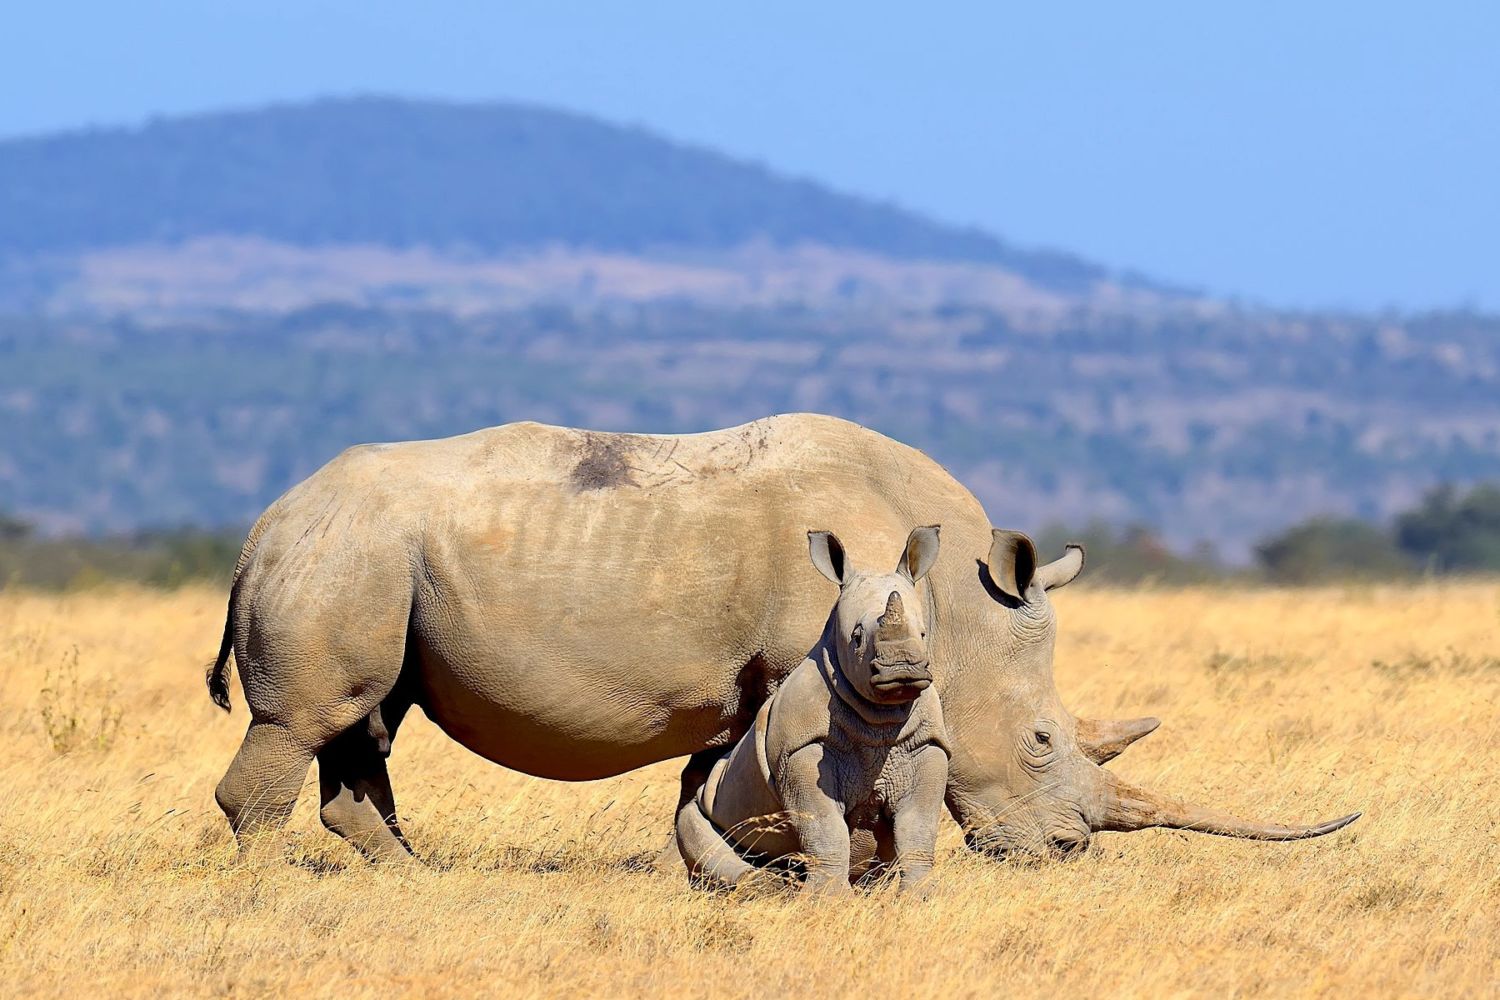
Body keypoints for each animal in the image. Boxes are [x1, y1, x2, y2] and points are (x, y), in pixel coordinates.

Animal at [678, 527, 948, 893]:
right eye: (857, 637)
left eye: (922, 634)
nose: (903, 669)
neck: (882, 714)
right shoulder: (800, 748)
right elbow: (824, 826)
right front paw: (830, 899)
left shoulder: (926, 744)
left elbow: (918, 825)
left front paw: (922, 895)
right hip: (707, 801)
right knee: (694, 827)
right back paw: (770, 887)